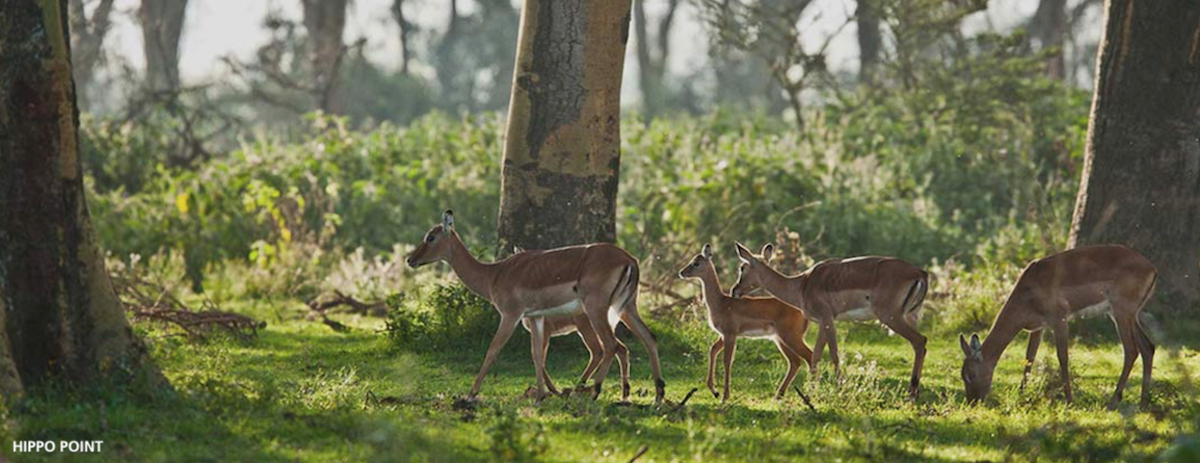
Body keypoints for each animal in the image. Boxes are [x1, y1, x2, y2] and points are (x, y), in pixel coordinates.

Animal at [404, 211, 665, 404]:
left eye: (430, 237)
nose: (410, 259)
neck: (493, 275)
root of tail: (630, 260)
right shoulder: (536, 318)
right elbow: (537, 354)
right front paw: (540, 396)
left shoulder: (510, 315)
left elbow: (493, 350)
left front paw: (470, 395)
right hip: (627, 308)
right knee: (647, 339)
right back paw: (655, 396)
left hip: (597, 310)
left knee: (611, 346)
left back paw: (595, 391)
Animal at [678, 244, 814, 402]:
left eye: (696, 263)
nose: (682, 272)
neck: (720, 303)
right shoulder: (723, 335)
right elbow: (712, 350)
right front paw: (715, 391)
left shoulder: (730, 334)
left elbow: (727, 361)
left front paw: (724, 396)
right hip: (779, 339)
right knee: (795, 361)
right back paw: (778, 396)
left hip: (790, 337)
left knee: (809, 357)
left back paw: (807, 396)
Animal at [731, 243, 930, 400]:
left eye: (742, 268)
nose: (735, 290)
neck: (802, 285)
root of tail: (919, 272)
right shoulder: (823, 321)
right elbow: (817, 354)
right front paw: (811, 392)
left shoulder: (826, 318)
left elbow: (833, 353)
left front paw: (838, 389)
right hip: (908, 316)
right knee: (920, 344)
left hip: (890, 317)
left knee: (920, 341)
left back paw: (912, 393)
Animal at [959, 245, 1157, 409]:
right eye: (962, 374)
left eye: (971, 374)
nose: (972, 402)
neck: (1028, 291)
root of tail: (1152, 268)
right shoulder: (1038, 327)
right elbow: (1029, 357)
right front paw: (1021, 395)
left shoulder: (1060, 319)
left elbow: (1063, 357)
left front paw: (1069, 401)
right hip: (1130, 315)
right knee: (1148, 347)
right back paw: (1143, 403)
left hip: (1121, 313)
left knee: (1131, 350)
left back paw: (1113, 402)